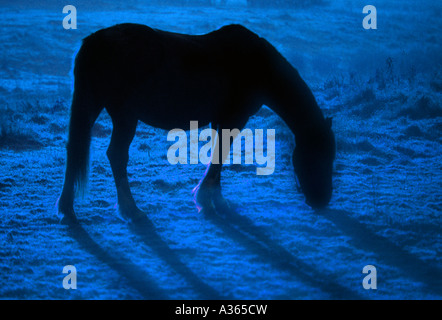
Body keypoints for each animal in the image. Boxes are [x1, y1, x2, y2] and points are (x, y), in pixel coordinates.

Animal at [57, 23, 334, 222]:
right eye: (318, 157)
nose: (322, 201)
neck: (256, 66)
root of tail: (96, 41)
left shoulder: (220, 120)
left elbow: (218, 156)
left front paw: (213, 198)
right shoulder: (233, 118)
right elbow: (219, 156)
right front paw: (208, 200)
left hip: (93, 105)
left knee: (75, 148)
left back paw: (67, 209)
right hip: (125, 116)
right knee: (116, 155)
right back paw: (131, 210)